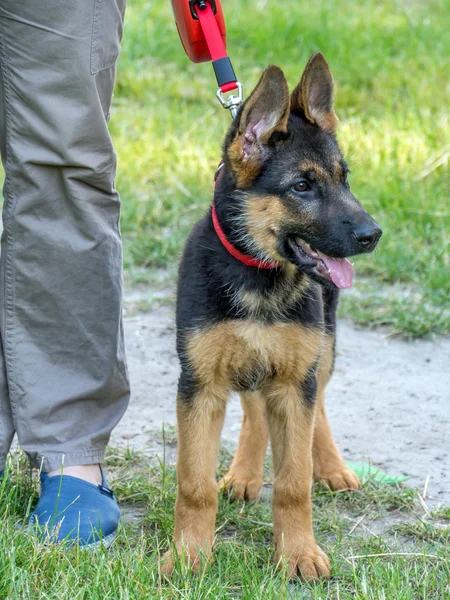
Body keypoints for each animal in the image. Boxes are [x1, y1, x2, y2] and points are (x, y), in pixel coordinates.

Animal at [163, 52, 382, 580]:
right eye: (302, 185)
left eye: (345, 178)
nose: (373, 234)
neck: (260, 276)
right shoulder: (200, 383)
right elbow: (194, 484)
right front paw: (188, 555)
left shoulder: (294, 380)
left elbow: (293, 483)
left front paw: (298, 554)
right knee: (253, 409)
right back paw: (243, 472)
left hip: (322, 348)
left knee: (317, 404)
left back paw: (331, 465)